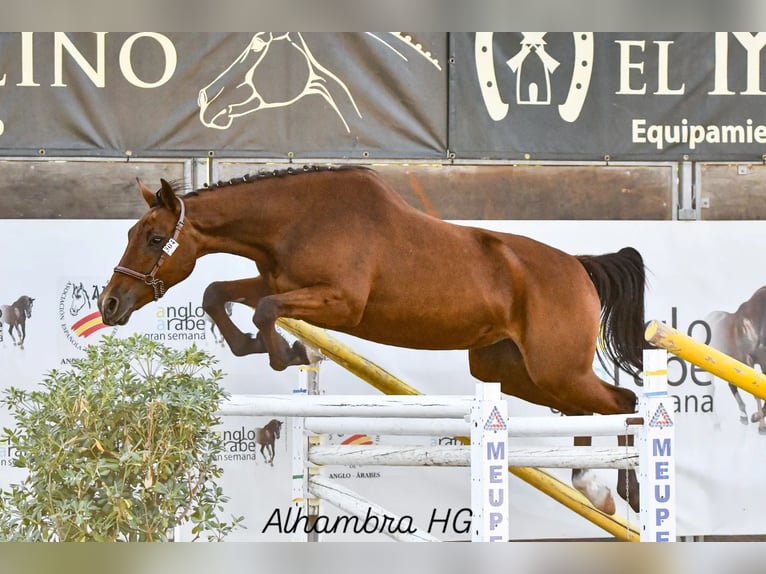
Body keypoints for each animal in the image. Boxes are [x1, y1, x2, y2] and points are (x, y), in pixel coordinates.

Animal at [98, 165, 647, 515]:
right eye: (130, 234)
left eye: (154, 239)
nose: (110, 305)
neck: (296, 219)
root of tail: (578, 266)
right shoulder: (276, 280)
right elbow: (219, 294)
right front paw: (265, 347)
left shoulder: (340, 302)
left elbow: (266, 311)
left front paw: (288, 352)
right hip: (511, 371)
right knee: (588, 409)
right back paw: (589, 483)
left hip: (557, 369)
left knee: (626, 402)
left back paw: (627, 489)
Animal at [707, 286, 766, 433]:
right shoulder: (749, 361)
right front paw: (761, 425)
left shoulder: (764, 362)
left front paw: (755, 417)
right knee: (711, 389)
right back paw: (716, 422)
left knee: (731, 385)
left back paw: (744, 416)